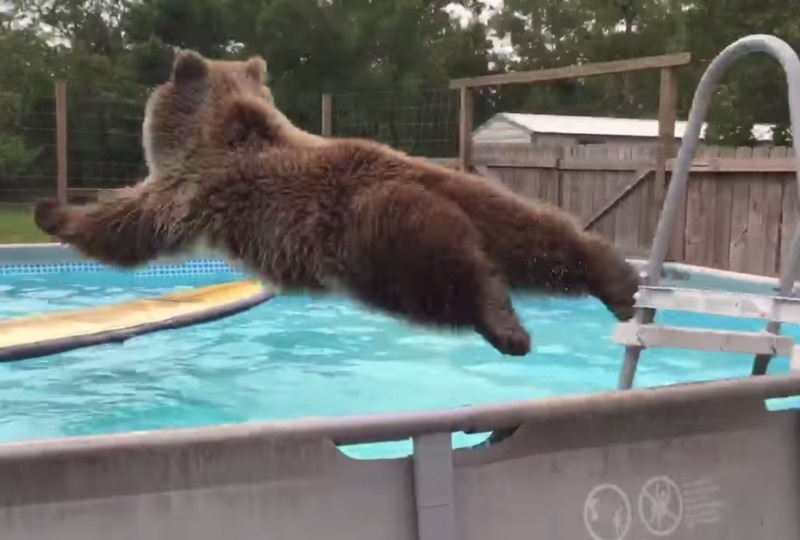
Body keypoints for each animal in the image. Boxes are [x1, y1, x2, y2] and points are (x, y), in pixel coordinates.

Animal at [34, 49, 641, 357]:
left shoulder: (191, 189)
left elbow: (129, 226)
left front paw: (54, 212)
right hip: (482, 199)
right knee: (542, 239)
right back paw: (618, 282)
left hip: (373, 238)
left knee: (448, 280)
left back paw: (505, 328)